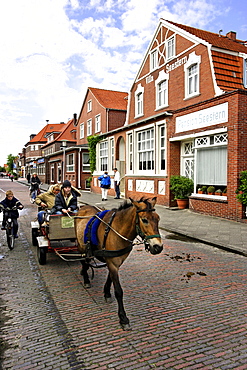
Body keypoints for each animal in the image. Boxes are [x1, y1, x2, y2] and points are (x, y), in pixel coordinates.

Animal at [75, 197, 164, 330]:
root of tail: (82, 208)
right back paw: (85, 278)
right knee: (84, 261)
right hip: (81, 247)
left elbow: (110, 279)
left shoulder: (115, 262)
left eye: (158, 218)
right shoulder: (112, 263)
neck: (117, 229)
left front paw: (106, 293)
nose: (158, 247)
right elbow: (118, 291)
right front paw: (123, 318)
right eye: (144, 220)